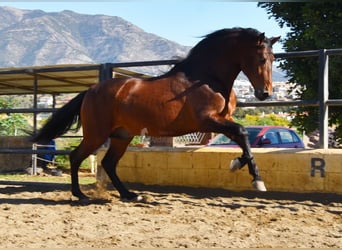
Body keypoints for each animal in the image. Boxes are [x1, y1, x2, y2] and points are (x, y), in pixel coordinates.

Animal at [32, 27, 280, 200]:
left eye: (273, 59)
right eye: (261, 58)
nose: (265, 93)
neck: (207, 79)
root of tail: (90, 91)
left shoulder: (222, 120)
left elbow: (242, 138)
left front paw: (241, 166)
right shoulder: (208, 120)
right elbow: (243, 133)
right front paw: (255, 179)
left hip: (121, 136)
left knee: (109, 163)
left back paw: (129, 195)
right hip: (97, 135)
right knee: (76, 157)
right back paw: (80, 195)